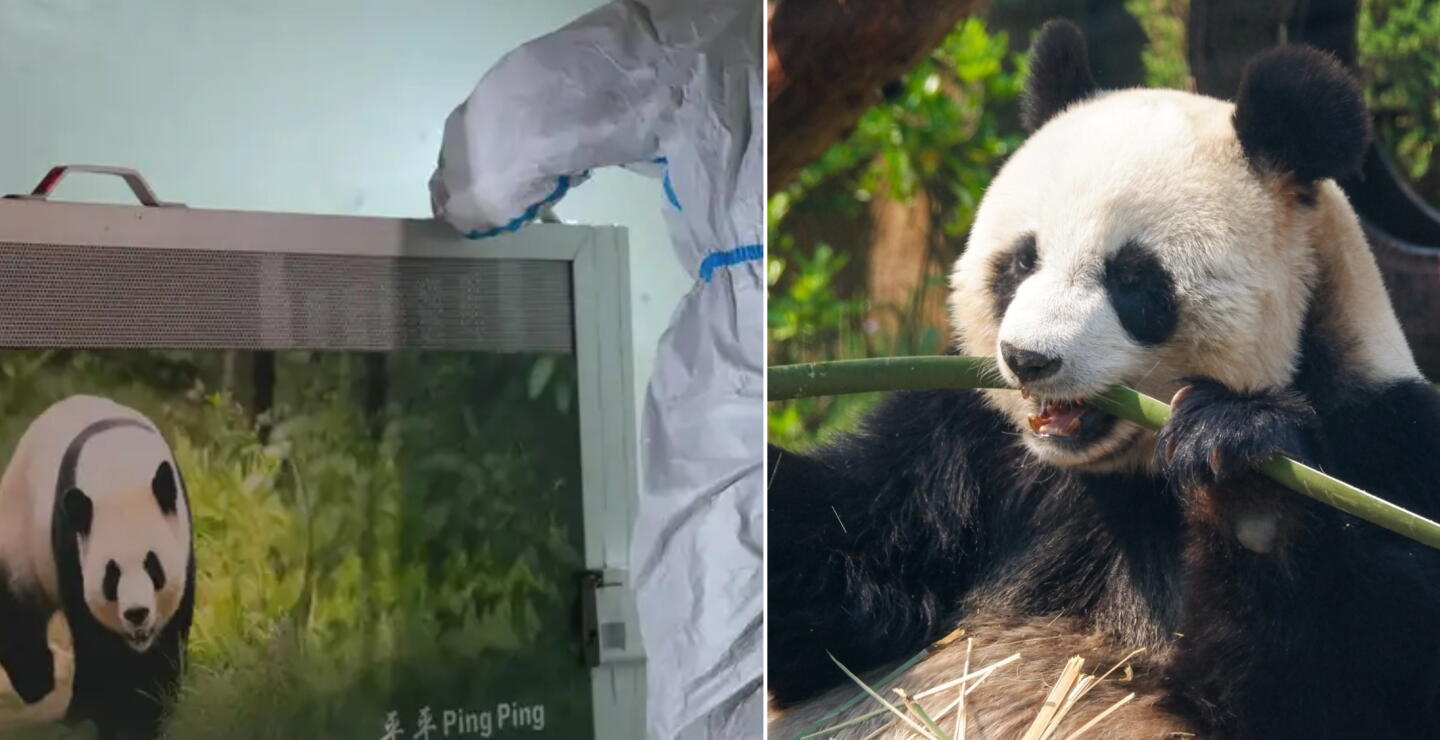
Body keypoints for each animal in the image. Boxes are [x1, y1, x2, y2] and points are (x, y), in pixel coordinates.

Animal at [0, 395, 195, 740]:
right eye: (111, 575)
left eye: (153, 566)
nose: (136, 613)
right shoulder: (70, 541)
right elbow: (96, 643)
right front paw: (111, 718)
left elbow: (169, 638)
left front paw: (152, 710)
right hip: (20, 537)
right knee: (17, 611)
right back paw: (39, 684)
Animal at [768, 20, 1440, 740]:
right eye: (1020, 261)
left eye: (1133, 278)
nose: (1027, 359)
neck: (1118, 476)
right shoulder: (963, 445)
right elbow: (842, 581)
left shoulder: (1388, 447)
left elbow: (1357, 676)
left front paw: (1242, 469)